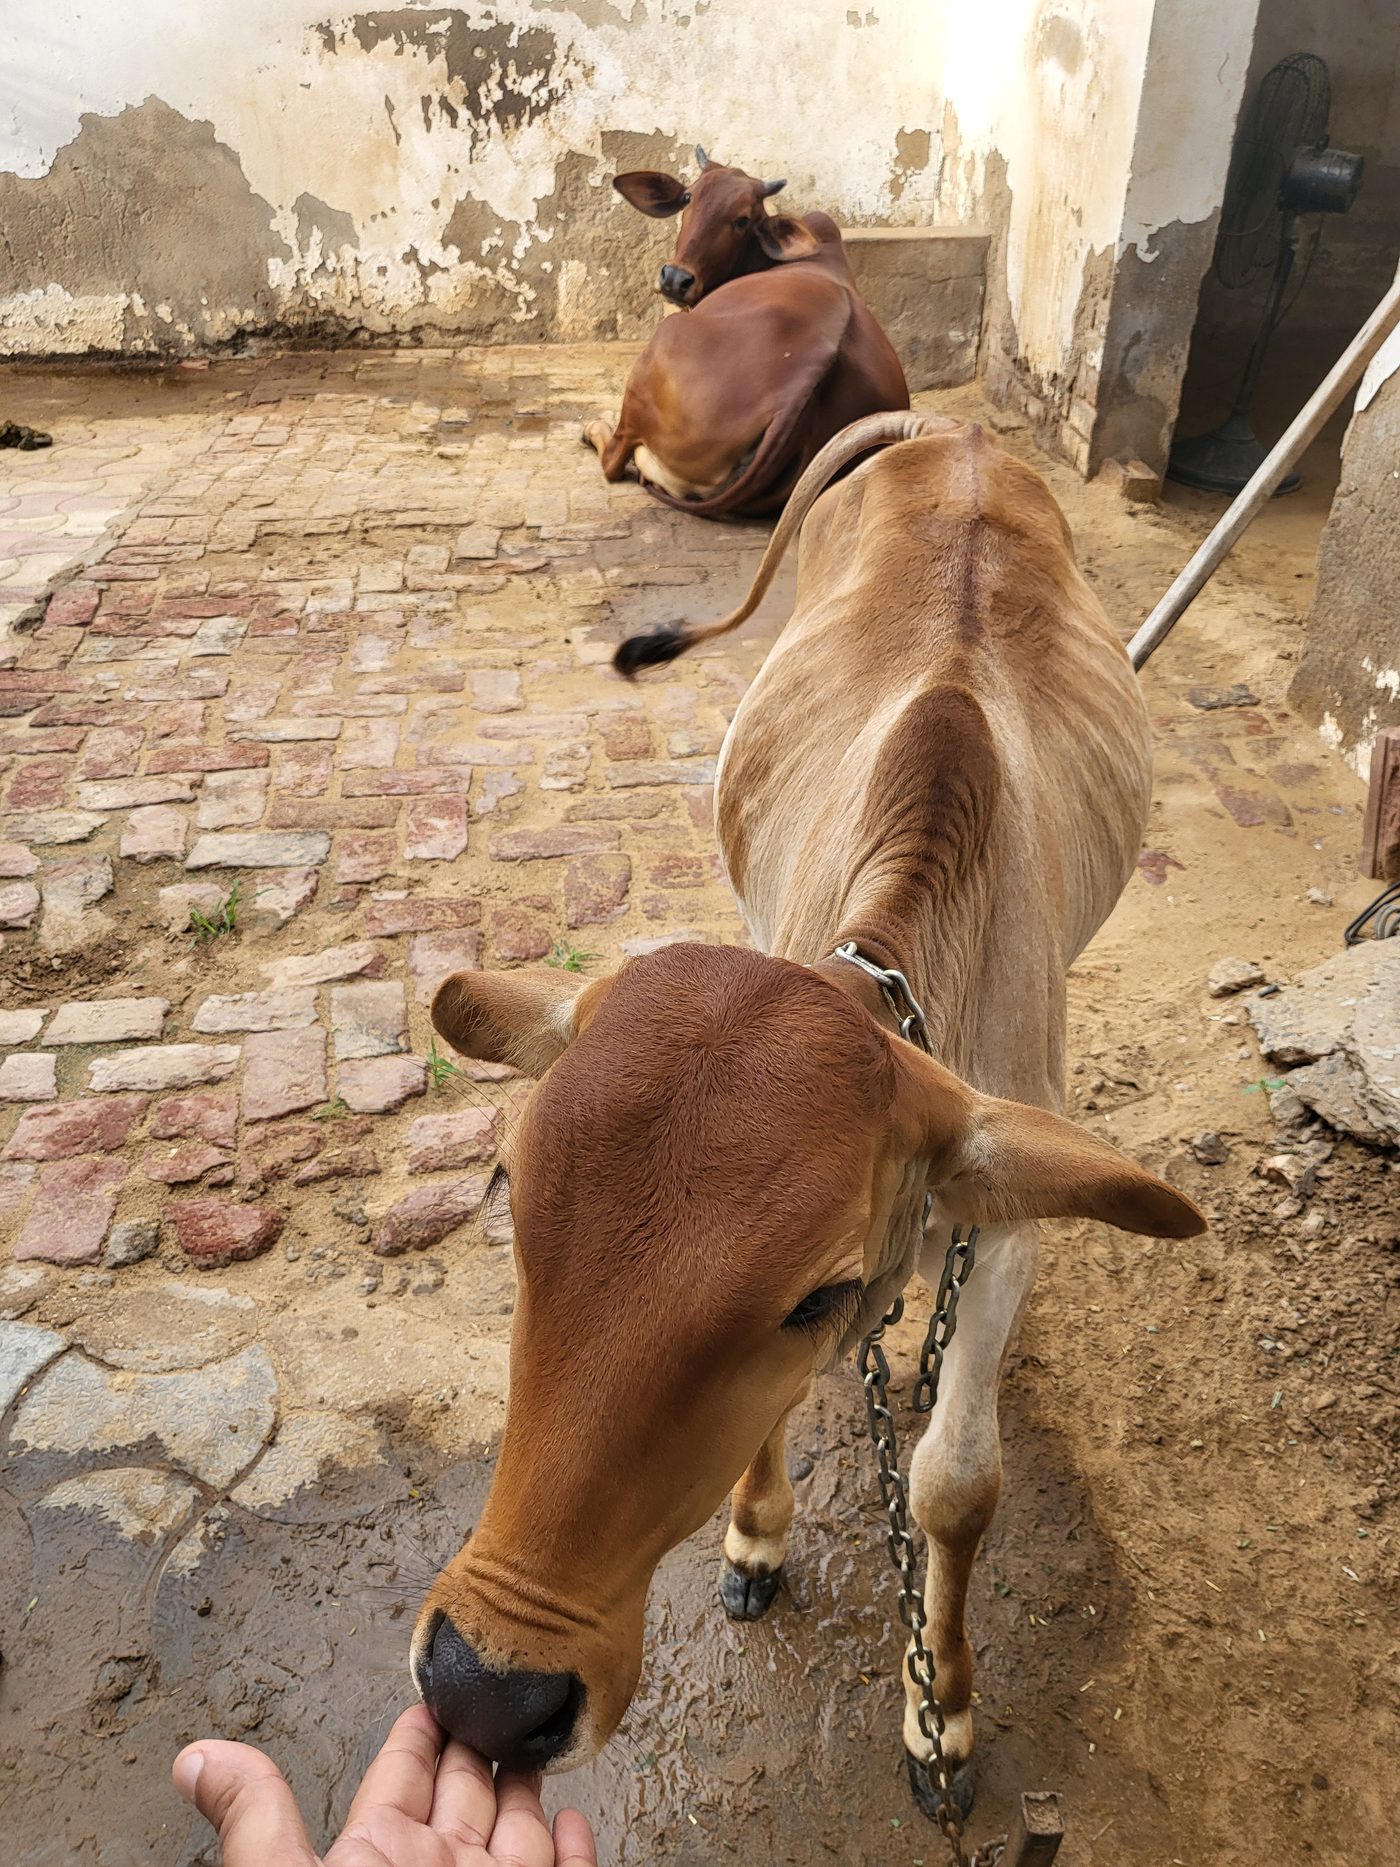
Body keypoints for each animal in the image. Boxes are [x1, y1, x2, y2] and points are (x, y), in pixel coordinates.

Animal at [415, 411, 1206, 1825]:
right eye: (511, 1197)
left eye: (813, 1295)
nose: (485, 1689)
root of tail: (948, 426)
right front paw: (754, 1531)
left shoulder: (1001, 1221)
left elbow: (955, 1481)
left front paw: (941, 1708)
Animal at [583, 148, 909, 519]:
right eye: (688, 198)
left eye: (742, 220)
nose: (675, 279)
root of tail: (795, 395)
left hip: (657, 352)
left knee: (614, 460)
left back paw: (595, 429)